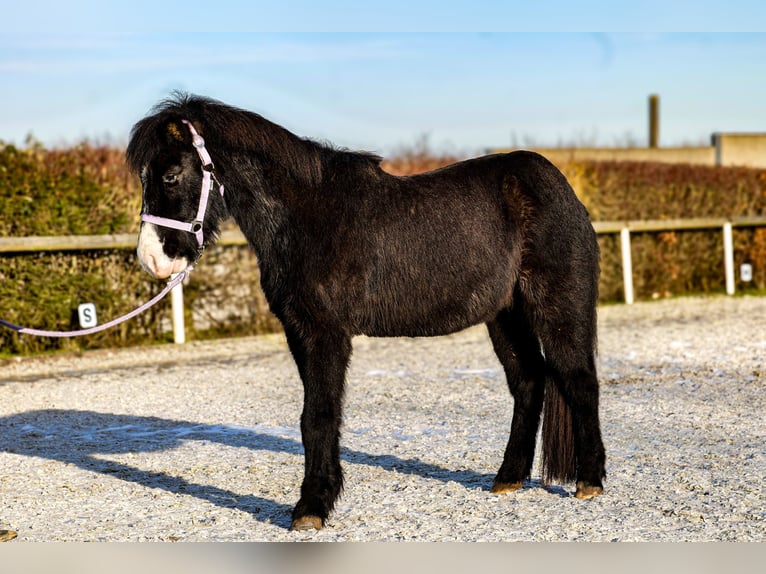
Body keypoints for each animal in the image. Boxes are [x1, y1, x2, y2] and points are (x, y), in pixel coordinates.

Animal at [127, 94, 608, 532]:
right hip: (505, 315)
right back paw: (508, 478)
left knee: (578, 381)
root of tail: (559, 187)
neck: (306, 216)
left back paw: (590, 482)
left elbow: (319, 415)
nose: (151, 259)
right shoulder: (298, 331)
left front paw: (311, 508)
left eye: (171, 175)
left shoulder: (325, 333)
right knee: (528, 381)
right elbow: (315, 417)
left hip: (557, 305)